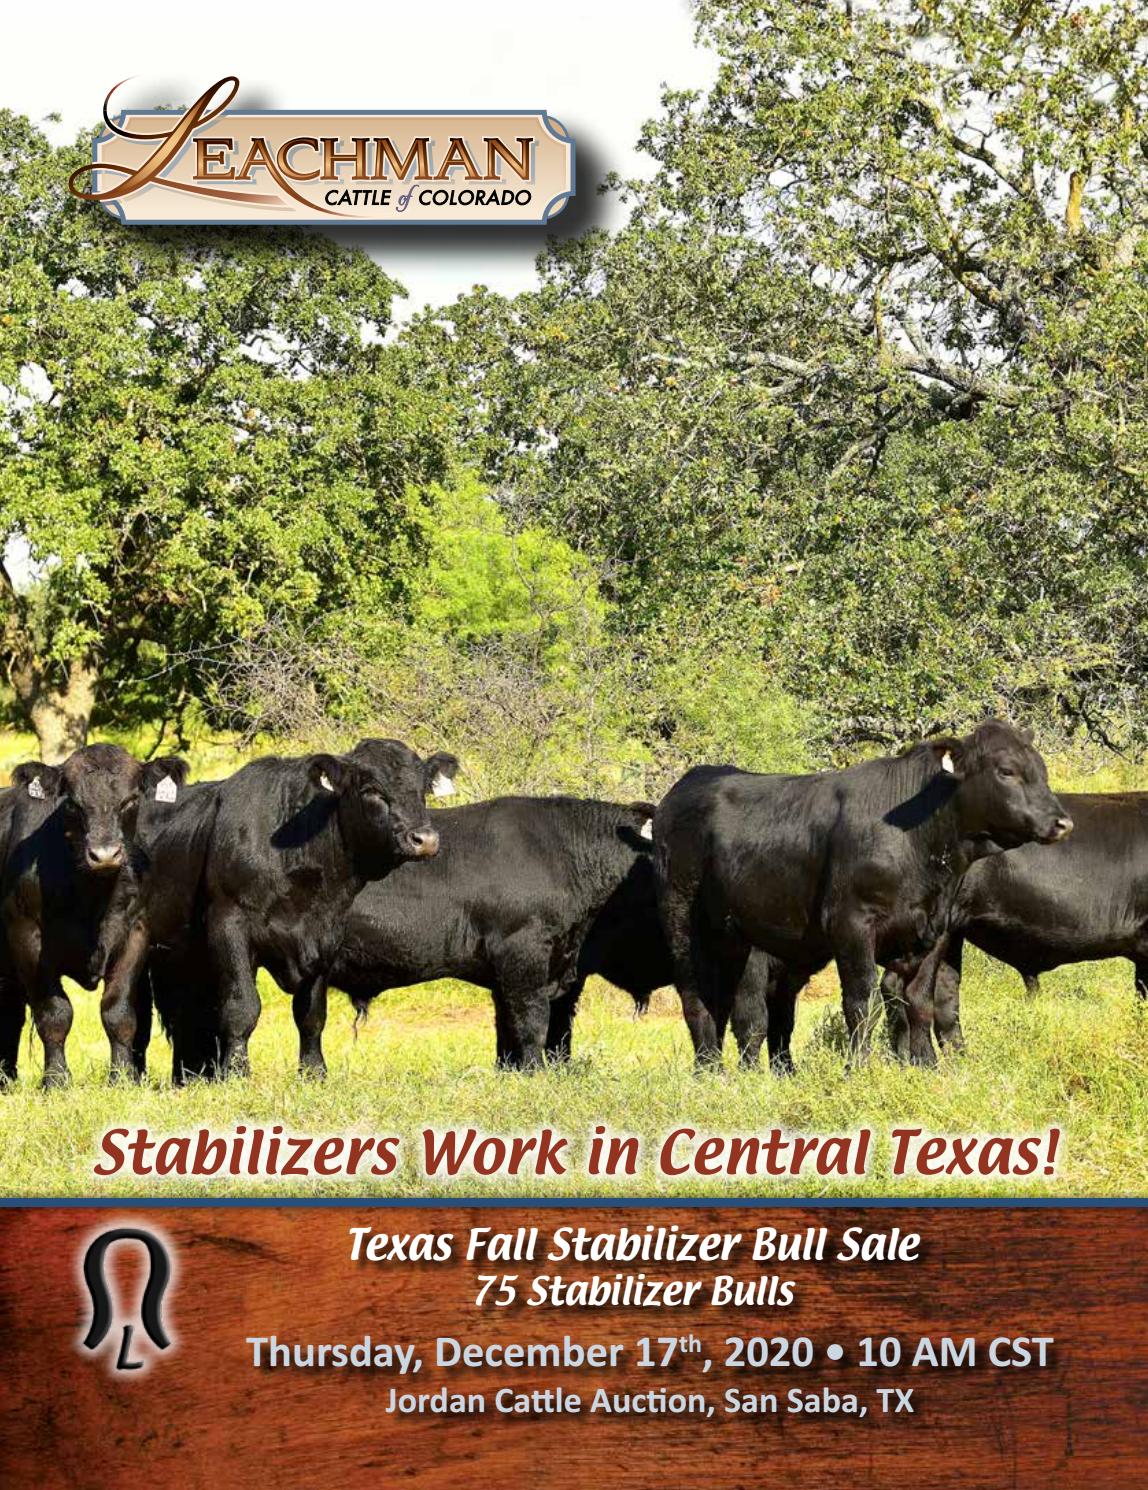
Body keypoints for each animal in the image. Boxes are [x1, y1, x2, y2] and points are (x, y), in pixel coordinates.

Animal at [0, 744, 190, 1087]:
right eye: (72, 803)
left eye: (131, 799)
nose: (104, 855)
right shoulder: (27, 937)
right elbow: (55, 1013)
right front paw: (56, 1080)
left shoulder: (135, 935)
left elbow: (118, 1012)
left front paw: (123, 1078)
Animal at [654, 720, 1073, 1070]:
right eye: (1006, 771)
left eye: (1042, 770)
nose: (1062, 822)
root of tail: (694, 779)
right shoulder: (852, 925)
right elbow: (860, 1002)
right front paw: (857, 1069)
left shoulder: (934, 929)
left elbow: (918, 1000)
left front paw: (926, 1066)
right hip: (683, 922)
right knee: (697, 998)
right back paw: (708, 1073)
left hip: (742, 938)